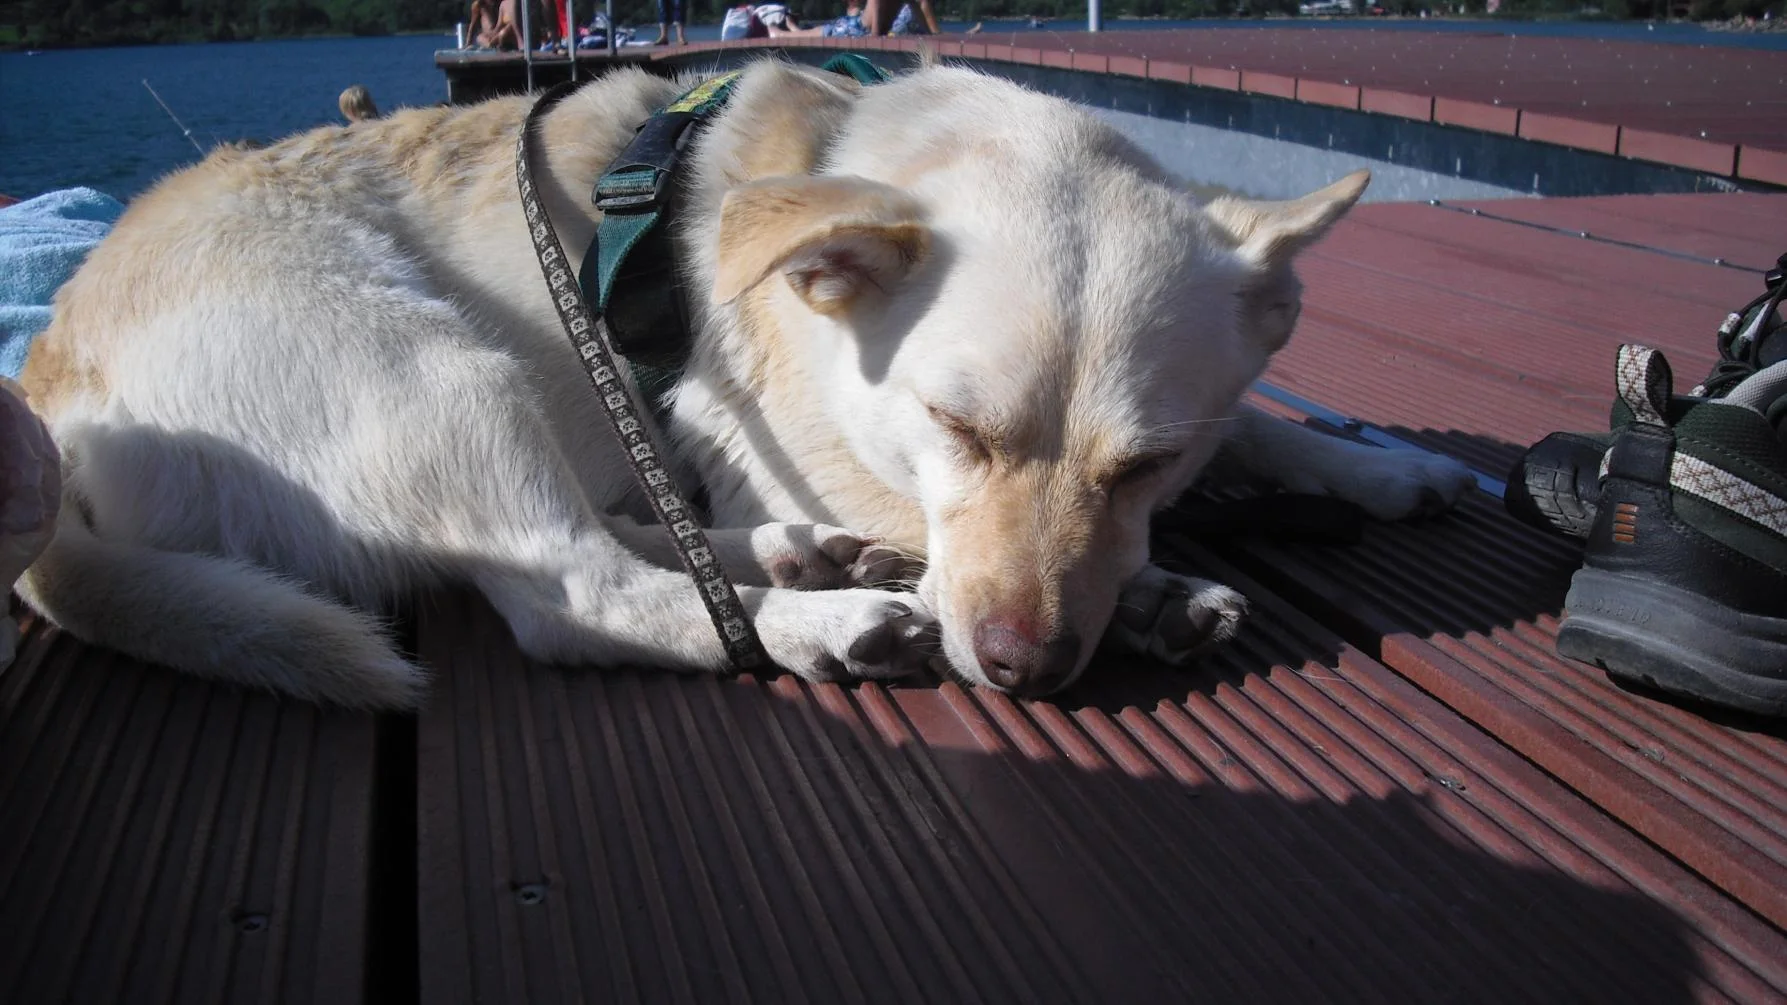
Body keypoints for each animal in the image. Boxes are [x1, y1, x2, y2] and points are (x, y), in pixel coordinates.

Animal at [18, 59, 1475, 708]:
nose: (1027, 666)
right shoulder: (811, 443)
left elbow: (1262, 423)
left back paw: (797, 559)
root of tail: (47, 389)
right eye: (951, 424)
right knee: (572, 593)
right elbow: (943, 546)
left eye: (1150, 462)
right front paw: (1148, 592)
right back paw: (824, 619)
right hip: (430, 373)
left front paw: (1382, 464)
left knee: (621, 533)